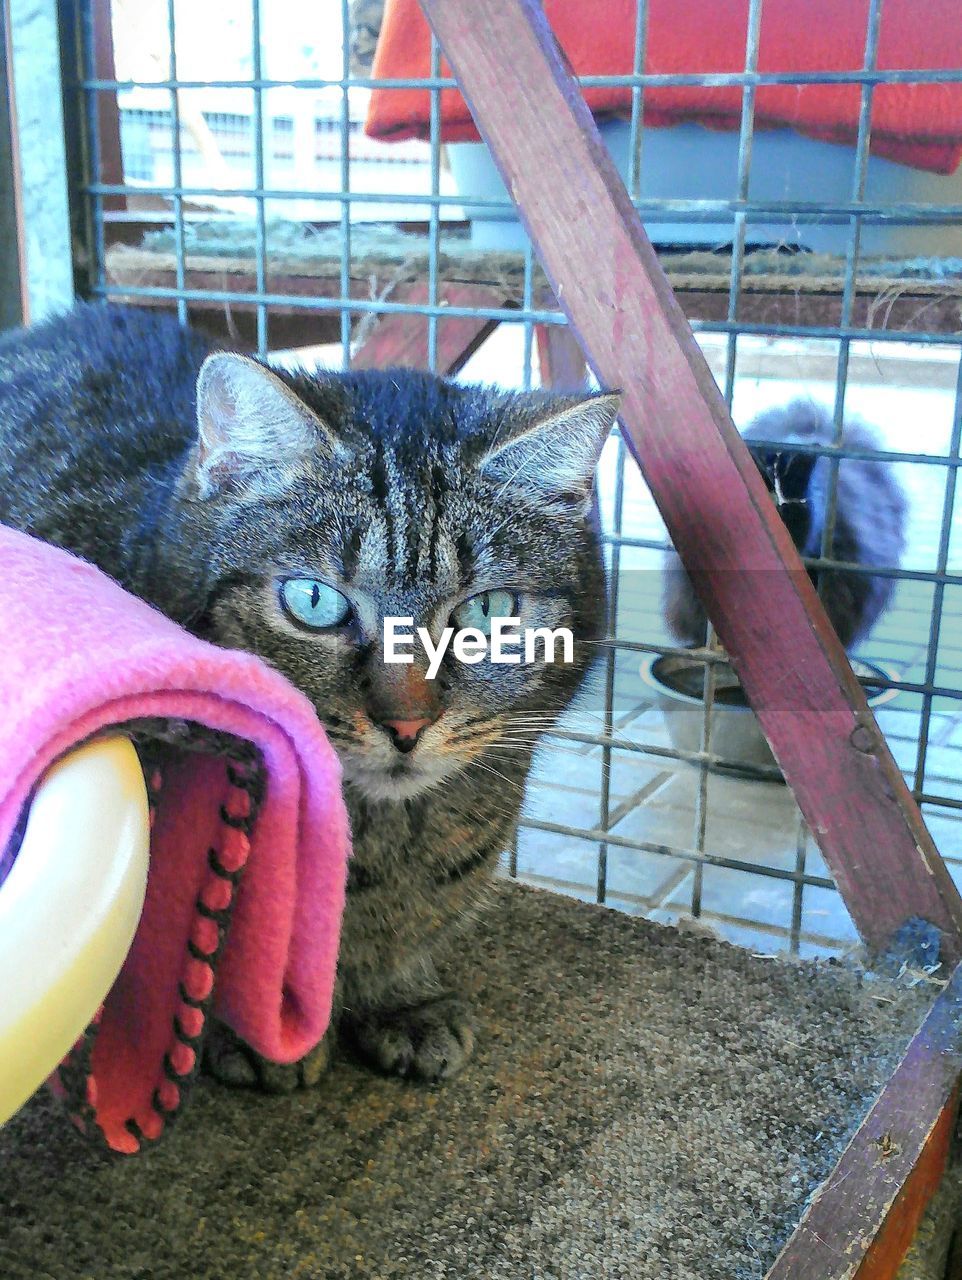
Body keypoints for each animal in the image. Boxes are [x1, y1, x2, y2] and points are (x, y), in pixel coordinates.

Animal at [0, 302, 616, 1090]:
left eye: (488, 611)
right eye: (315, 602)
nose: (406, 723)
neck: (383, 841)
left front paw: (402, 1001)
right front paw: (258, 1034)